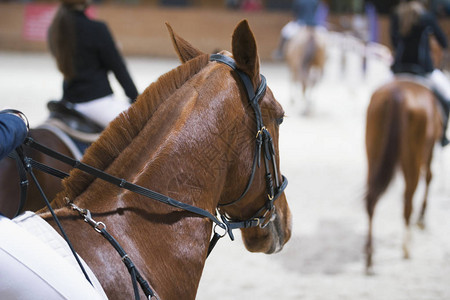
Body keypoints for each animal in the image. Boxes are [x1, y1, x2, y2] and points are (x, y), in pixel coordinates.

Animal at [364, 77, 442, 274]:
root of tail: (397, 95)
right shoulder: (429, 151)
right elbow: (429, 178)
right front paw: (421, 219)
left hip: (372, 154)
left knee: (371, 200)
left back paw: (369, 258)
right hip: (412, 157)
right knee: (408, 200)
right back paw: (407, 248)